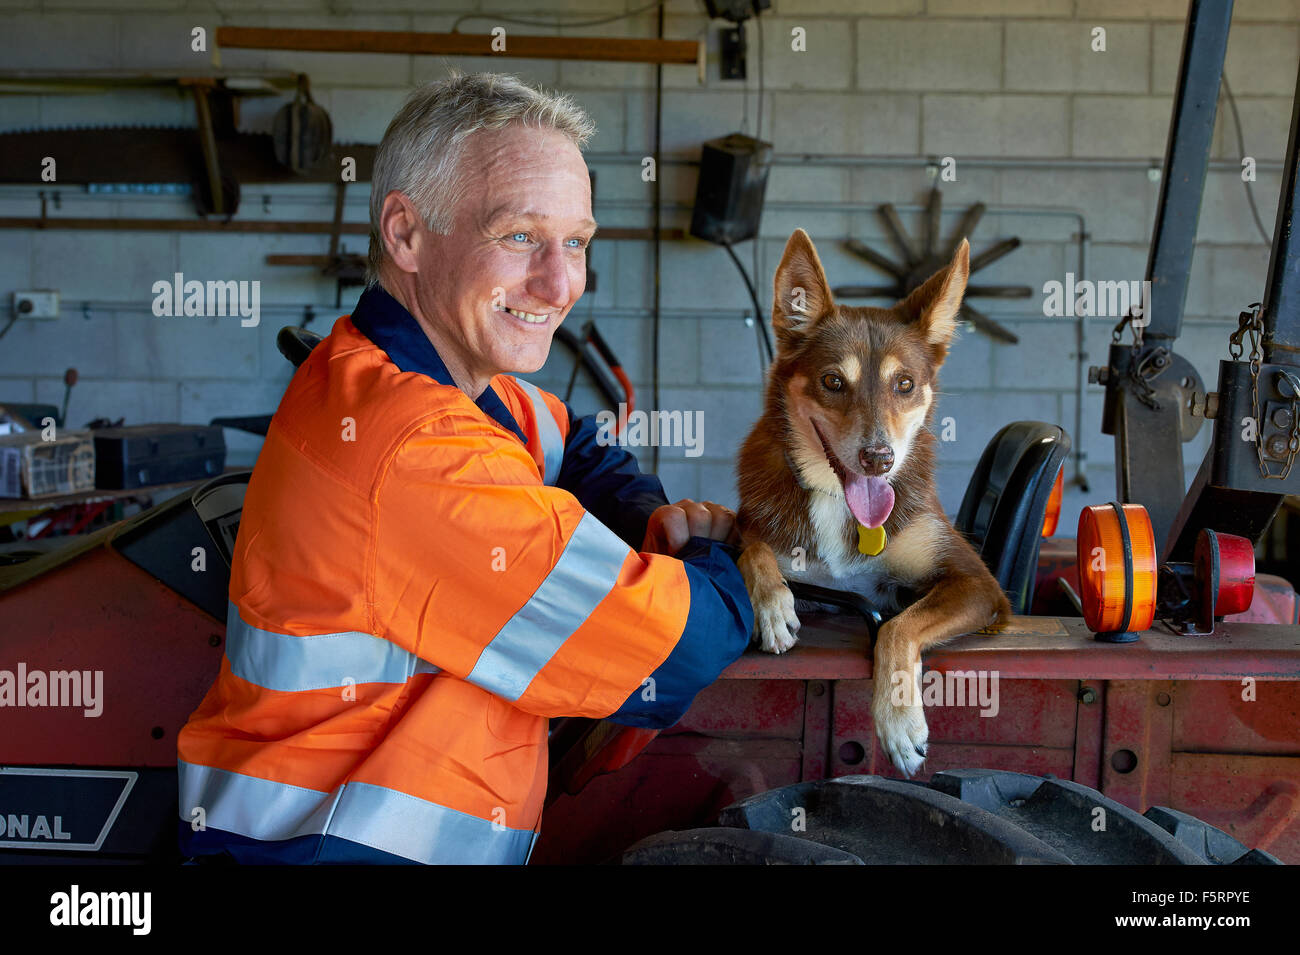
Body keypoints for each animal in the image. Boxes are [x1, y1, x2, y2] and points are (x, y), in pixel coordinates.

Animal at [738, 229, 1008, 779]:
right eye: (832, 381)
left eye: (904, 384)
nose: (878, 458)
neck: (836, 499)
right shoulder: (752, 533)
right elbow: (750, 551)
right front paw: (773, 607)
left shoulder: (978, 584)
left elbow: (899, 626)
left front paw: (900, 718)